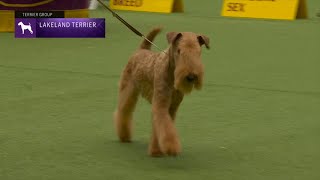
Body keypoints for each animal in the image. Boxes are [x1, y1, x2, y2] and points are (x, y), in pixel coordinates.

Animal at [113, 26, 210, 156]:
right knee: (123, 111)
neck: (171, 73)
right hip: (128, 90)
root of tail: (141, 50)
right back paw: (124, 136)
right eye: (179, 50)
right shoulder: (160, 104)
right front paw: (167, 148)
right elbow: (165, 127)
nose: (191, 76)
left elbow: (164, 127)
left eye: (198, 52)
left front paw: (158, 149)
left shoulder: (172, 107)